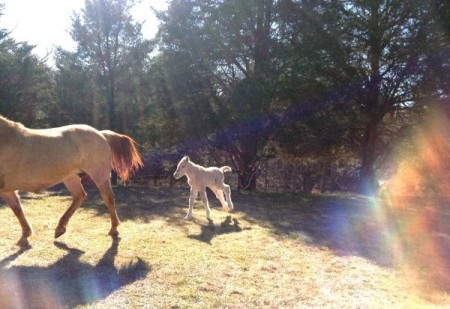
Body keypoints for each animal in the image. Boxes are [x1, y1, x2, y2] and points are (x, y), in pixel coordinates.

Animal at [0, 115, 142, 245]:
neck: (5, 139)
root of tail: (101, 134)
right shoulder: (7, 190)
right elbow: (17, 209)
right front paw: (26, 233)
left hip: (99, 175)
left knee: (108, 198)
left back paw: (113, 229)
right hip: (71, 177)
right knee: (80, 196)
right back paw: (60, 228)